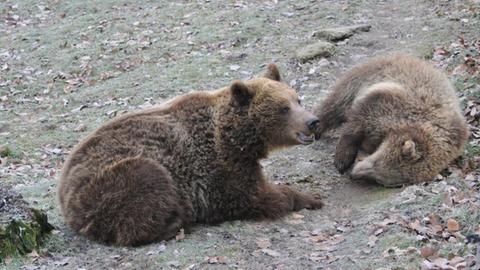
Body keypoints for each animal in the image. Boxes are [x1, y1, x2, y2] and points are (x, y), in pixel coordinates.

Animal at [58, 64, 324, 246]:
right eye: (284, 108)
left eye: (297, 99)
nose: (313, 121)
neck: (241, 139)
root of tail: (63, 192)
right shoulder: (217, 165)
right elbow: (251, 196)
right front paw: (309, 197)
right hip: (106, 186)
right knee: (146, 181)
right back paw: (174, 222)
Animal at [316, 53, 468, 187]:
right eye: (376, 163)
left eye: (379, 179)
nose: (354, 174)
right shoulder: (392, 103)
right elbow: (356, 124)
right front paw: (342, 160)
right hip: (363, 77)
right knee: (335, 104)